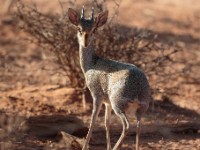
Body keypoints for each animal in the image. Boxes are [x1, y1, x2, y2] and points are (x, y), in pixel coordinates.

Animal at [68, 6, 151, 150]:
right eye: (79, 28)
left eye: (94, 29)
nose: (85, 42)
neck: (92, 64)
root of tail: (138, 88)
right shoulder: (107, 103)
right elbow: (107, 123)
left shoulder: (97, 96)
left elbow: (93, 121)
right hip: (140, 109)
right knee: (139, 126)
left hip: (118, 105)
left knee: (127, 126)